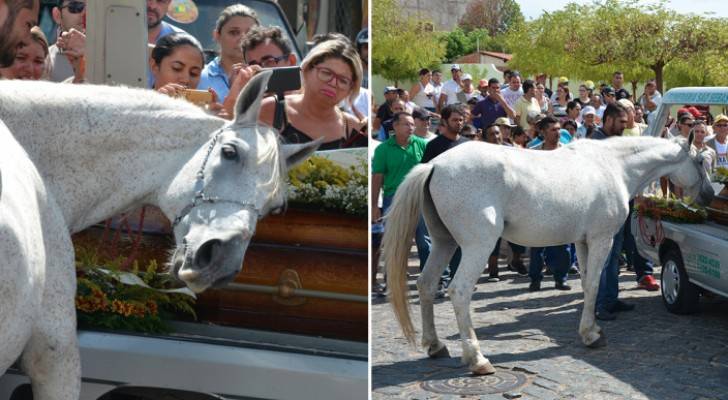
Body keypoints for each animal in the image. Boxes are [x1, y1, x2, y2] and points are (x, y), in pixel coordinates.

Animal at [384, 134, 712, 376]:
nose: (709, 194)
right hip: (477, 246)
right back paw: (477, 359)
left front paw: (591, 329)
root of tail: (435, 165)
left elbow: (586, 285)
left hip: (444, 243)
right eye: (699, 160)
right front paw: (592, 336)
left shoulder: (582, 242)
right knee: (460, 291)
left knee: (426, 285)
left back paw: (435, 345)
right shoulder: (601, 239)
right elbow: (595, 284)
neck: (613, 166)